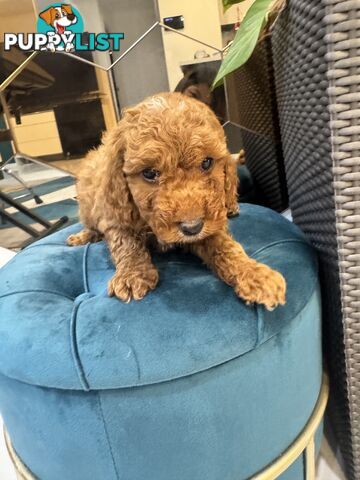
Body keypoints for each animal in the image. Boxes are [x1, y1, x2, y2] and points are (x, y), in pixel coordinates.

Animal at [67, 92, 286, 310]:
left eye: (206, 162)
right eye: (149, 173)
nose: (192, 227)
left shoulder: (208, 226)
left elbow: (224, 246)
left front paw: (254, 274)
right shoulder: (115, 217)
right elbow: (126, 243)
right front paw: (132, 274)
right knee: (91, 225)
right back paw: (81, 237)